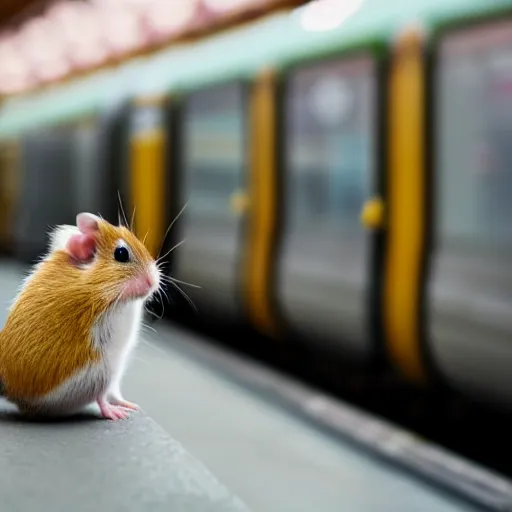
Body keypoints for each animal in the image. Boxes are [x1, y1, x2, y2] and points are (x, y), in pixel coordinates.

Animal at [0, 212, 161, 420]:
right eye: (121, 254)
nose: (154, 281)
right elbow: (102, 398)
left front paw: (132, 406)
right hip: (101, 373)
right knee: (102, 397)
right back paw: (116, 413)